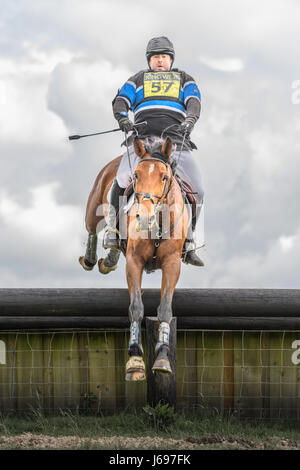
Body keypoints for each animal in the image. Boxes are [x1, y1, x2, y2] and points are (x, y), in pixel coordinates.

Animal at [79, 137, 188, 382]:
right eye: (136, 175)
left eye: (164, 177)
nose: (143, 217)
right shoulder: (134, 261)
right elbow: (136, 307)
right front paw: (135, 360)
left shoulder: (172, 264)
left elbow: (165, 308)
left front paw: (162, 357)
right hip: (94, 204)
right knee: (92, 227)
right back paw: (94, 258)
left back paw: (108, 259)